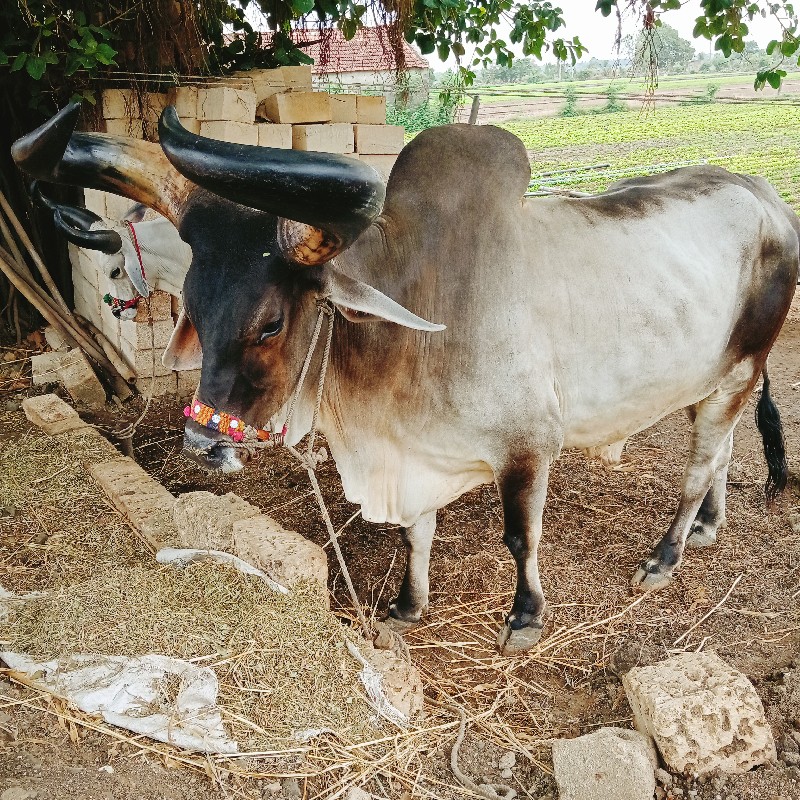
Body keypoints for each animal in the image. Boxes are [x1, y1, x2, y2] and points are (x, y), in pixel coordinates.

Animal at [14, 101, 800, 648]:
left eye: (270, 323)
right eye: (198, 311)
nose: (204, 445)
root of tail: (765, 194)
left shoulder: (528, 447)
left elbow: (520, 538)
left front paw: (525, 618)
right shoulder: (408, 450)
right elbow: (412, 535)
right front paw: (407, 606)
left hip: (739, 371)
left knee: (698, 465)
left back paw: (667, 554)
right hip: (712, 382)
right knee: (721, 452)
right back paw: (708, 528)